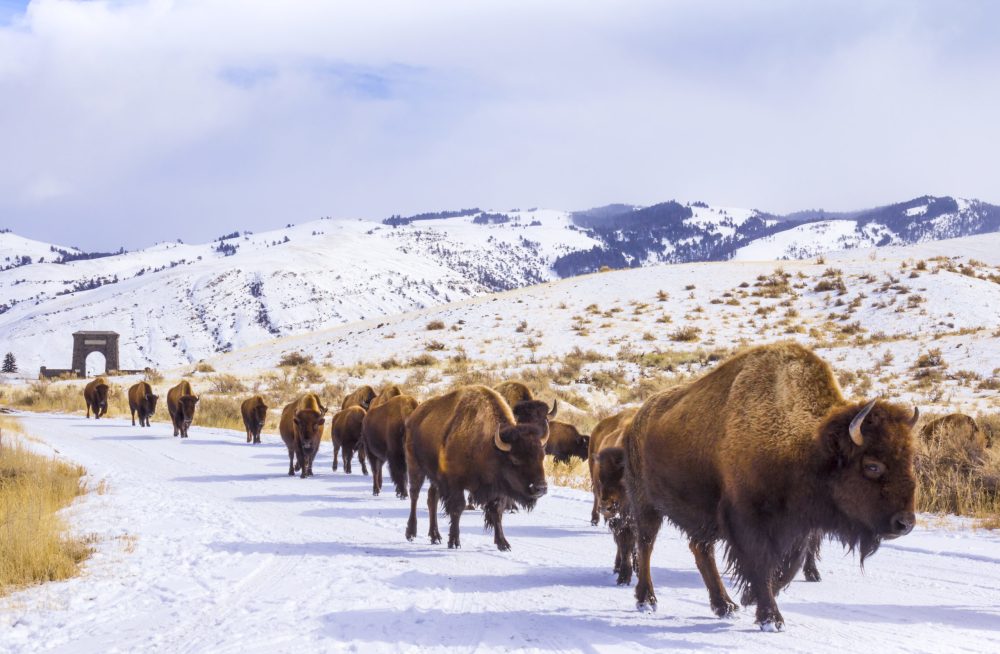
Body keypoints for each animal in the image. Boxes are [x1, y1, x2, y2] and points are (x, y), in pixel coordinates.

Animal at [405, 385, 549, 551]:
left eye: (542, 456)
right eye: (515, 459)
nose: (540, 488)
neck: (489, 446)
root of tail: (414, 416)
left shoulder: (497, 489)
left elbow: (496, 511)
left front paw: (503, 543)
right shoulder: (455, 484)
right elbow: (457, 508)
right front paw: (454, 542)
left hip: (434, 477)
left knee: (432, 498)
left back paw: (435, 536)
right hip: (415, 467)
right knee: (414, 495)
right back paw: (411, 533)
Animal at [624, 342, 918, 631]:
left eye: (910, 460)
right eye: (872, 465)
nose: (905, 523)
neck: (805, 445)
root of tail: (636, 420)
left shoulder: (797, 527)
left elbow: (789, 566)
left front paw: (750, 598)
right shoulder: (748, 521)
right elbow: (761, 564)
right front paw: (771, 619)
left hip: (701, 516)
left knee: (700, 550)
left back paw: (724, 605)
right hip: (645, 504)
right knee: (646, 545)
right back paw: (647, 600)